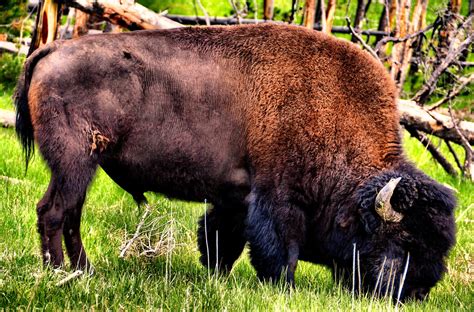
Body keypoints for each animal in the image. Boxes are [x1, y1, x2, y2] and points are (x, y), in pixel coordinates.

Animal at [14, 24, 456, 302]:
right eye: (405, 240)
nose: (418, 293)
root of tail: (51, 49)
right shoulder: (276, 198)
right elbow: (279, 250)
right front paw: (283, 290)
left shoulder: (234, 198)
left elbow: (220, 239)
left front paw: (216, 277)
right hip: (74, 162)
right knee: (53, 212)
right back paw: (60, 274)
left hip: (81, 168)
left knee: (71, 215)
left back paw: (84, 271)